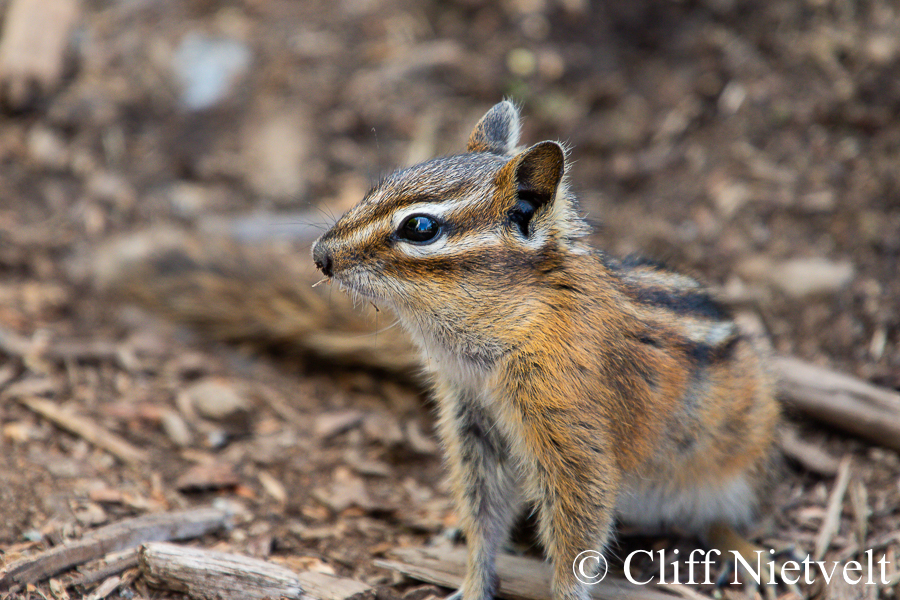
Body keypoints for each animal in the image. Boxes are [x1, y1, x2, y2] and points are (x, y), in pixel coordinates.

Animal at [312, 101, 781, 600]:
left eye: (420, 227)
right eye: (377, 187)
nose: (320, 255)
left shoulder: (569, 428)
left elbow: (579, 528)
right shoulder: (471, 422)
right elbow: (482, 515)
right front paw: (473, 582)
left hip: (734, 470)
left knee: (719, 520)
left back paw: (747, 554)